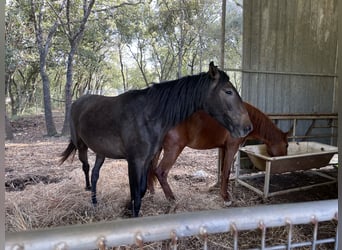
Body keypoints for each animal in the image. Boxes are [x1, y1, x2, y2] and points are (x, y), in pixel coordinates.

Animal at [148, 102, 288, 205]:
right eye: (286, 145)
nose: (284, 158)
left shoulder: (223, 148)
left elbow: (222, 171)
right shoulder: (231, 148)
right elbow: (226, 172)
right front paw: (226, 198)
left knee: (151, 169)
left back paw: (152, 192)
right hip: (174, 149)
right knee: (160, 172)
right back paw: (171, 199)